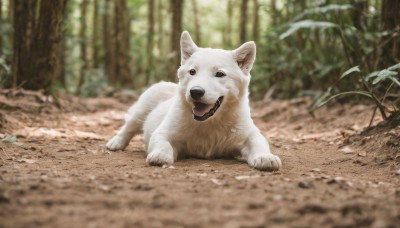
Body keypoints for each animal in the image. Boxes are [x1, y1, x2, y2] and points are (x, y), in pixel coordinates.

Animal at [106, 30, 282, 171]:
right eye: (192, 72)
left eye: (220, 74)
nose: (195, 92)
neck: (209, 123)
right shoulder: (163, 132)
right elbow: (163, 143)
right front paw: (160, 155)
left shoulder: (250, 134)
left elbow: (259, 143)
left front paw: (265, 157)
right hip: (142, 108)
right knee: (128, 127)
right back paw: (115, 143)